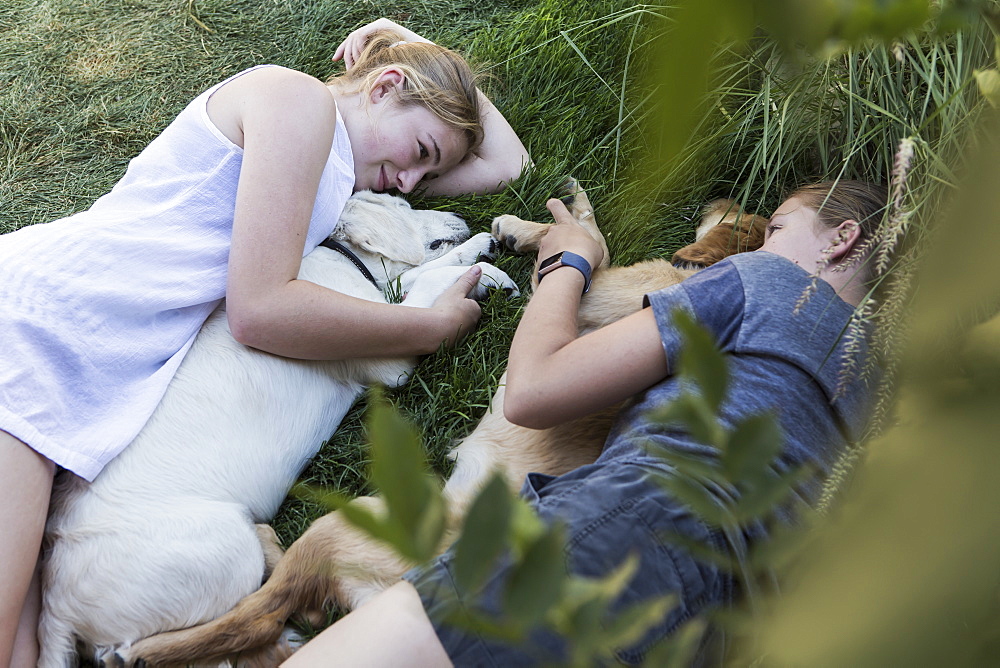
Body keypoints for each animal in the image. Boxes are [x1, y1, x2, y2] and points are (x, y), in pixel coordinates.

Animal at [35, 190, 520, 664]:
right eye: (401, 205)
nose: (462, 216)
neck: (341, 259)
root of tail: (56, 609)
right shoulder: (390, 357)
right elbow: (425, 286)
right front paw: (482, 265)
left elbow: (419, 276)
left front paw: (483, 261)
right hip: (224, 553)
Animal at [121, 180, 768, 664]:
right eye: (745, 212)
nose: (720, 192)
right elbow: (585, 238)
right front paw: (524, 232)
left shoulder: (580, 298)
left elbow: (586, 245)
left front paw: (515, 238)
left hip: (350, 523)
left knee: (265, 613)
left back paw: (146, 647)